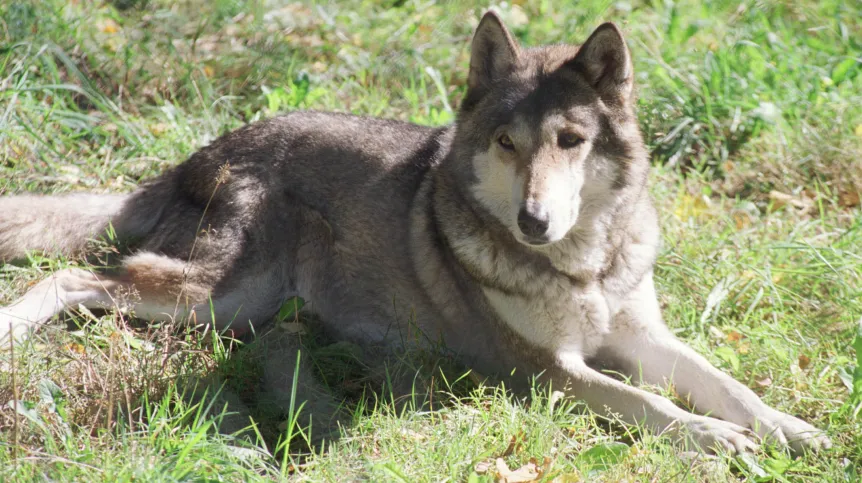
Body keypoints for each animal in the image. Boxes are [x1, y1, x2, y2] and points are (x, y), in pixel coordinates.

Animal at [1, 13, 836, 456]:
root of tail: (197, 155)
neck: (583, 266)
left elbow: (728, 383)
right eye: (506, 143)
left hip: (242, 305)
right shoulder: (549, 372)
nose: (534, 221)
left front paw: (793, 429)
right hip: (215, 292)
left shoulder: (645, 337)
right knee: (77, 276)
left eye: (569, 141)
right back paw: (13, 325)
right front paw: (722, 441)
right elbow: (654, 406)